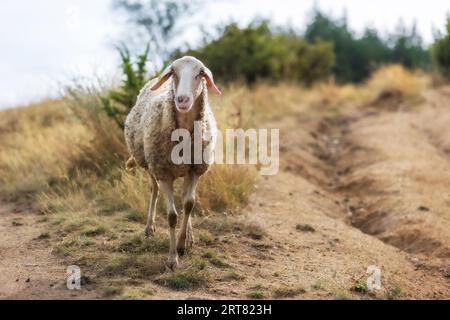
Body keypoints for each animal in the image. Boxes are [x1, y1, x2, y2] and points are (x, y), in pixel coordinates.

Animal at [123, 56, 221, 268]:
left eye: (200, 73)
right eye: (173, 73)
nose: (182, 99)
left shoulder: (194, 170)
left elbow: (189, 204)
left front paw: (182, 245)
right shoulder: (163, 173)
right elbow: (172, 216)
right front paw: (172, 258)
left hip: (186, 170)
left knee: (186, 200)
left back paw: (189, 236)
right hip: (150, 165)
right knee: (154, 190)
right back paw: (149, 227)